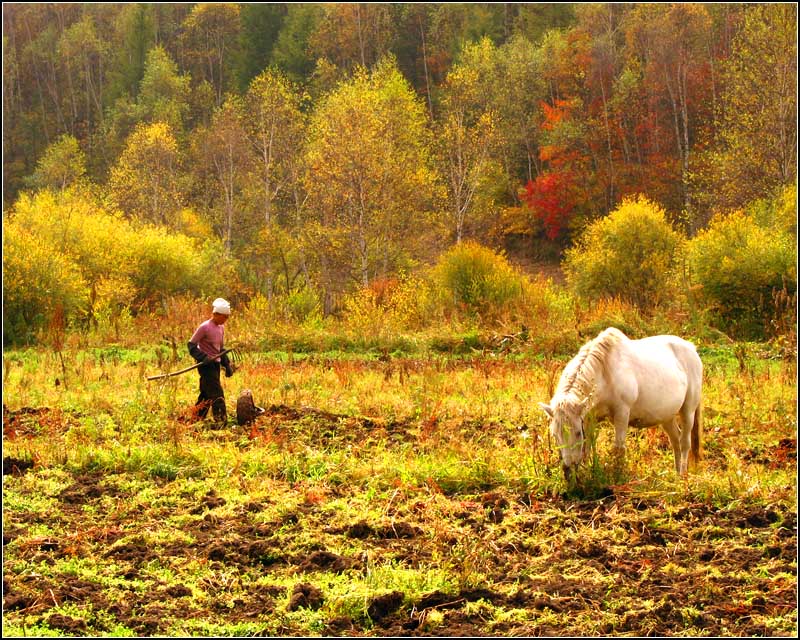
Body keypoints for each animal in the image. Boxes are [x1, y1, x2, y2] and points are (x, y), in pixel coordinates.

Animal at [540, 328, 704, 478]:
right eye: (554, 435)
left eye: (577, 433)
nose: (568, 471)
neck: (604, 372)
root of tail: (692, 348)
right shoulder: (589, 418)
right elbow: (587, 447)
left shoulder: (622, 414)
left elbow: (618, 449)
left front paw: (617, 476)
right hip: (667, 416)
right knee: (675, 441)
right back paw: (676, 474)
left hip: (688, 411)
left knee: (684, 443)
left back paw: (682, 475)